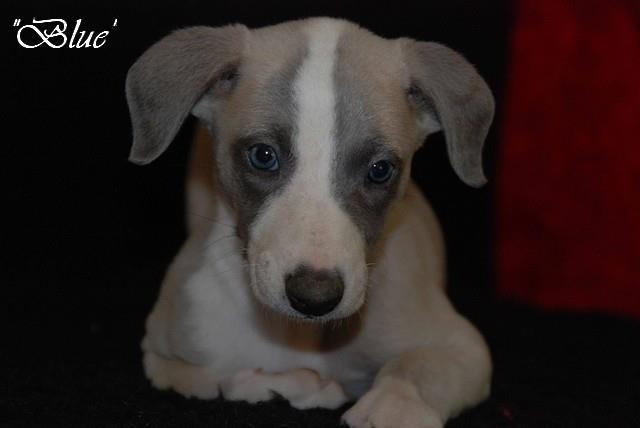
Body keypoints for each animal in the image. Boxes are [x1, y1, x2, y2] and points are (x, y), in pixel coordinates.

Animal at [126, 17, 494, 428]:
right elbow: (221, 377)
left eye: (380, 169)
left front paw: (393, 406)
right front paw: (294, 383)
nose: (314, 297)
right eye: (263, 155)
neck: (297, 333)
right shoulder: (163, 353)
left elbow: (419, 366)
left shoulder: (464, 344)